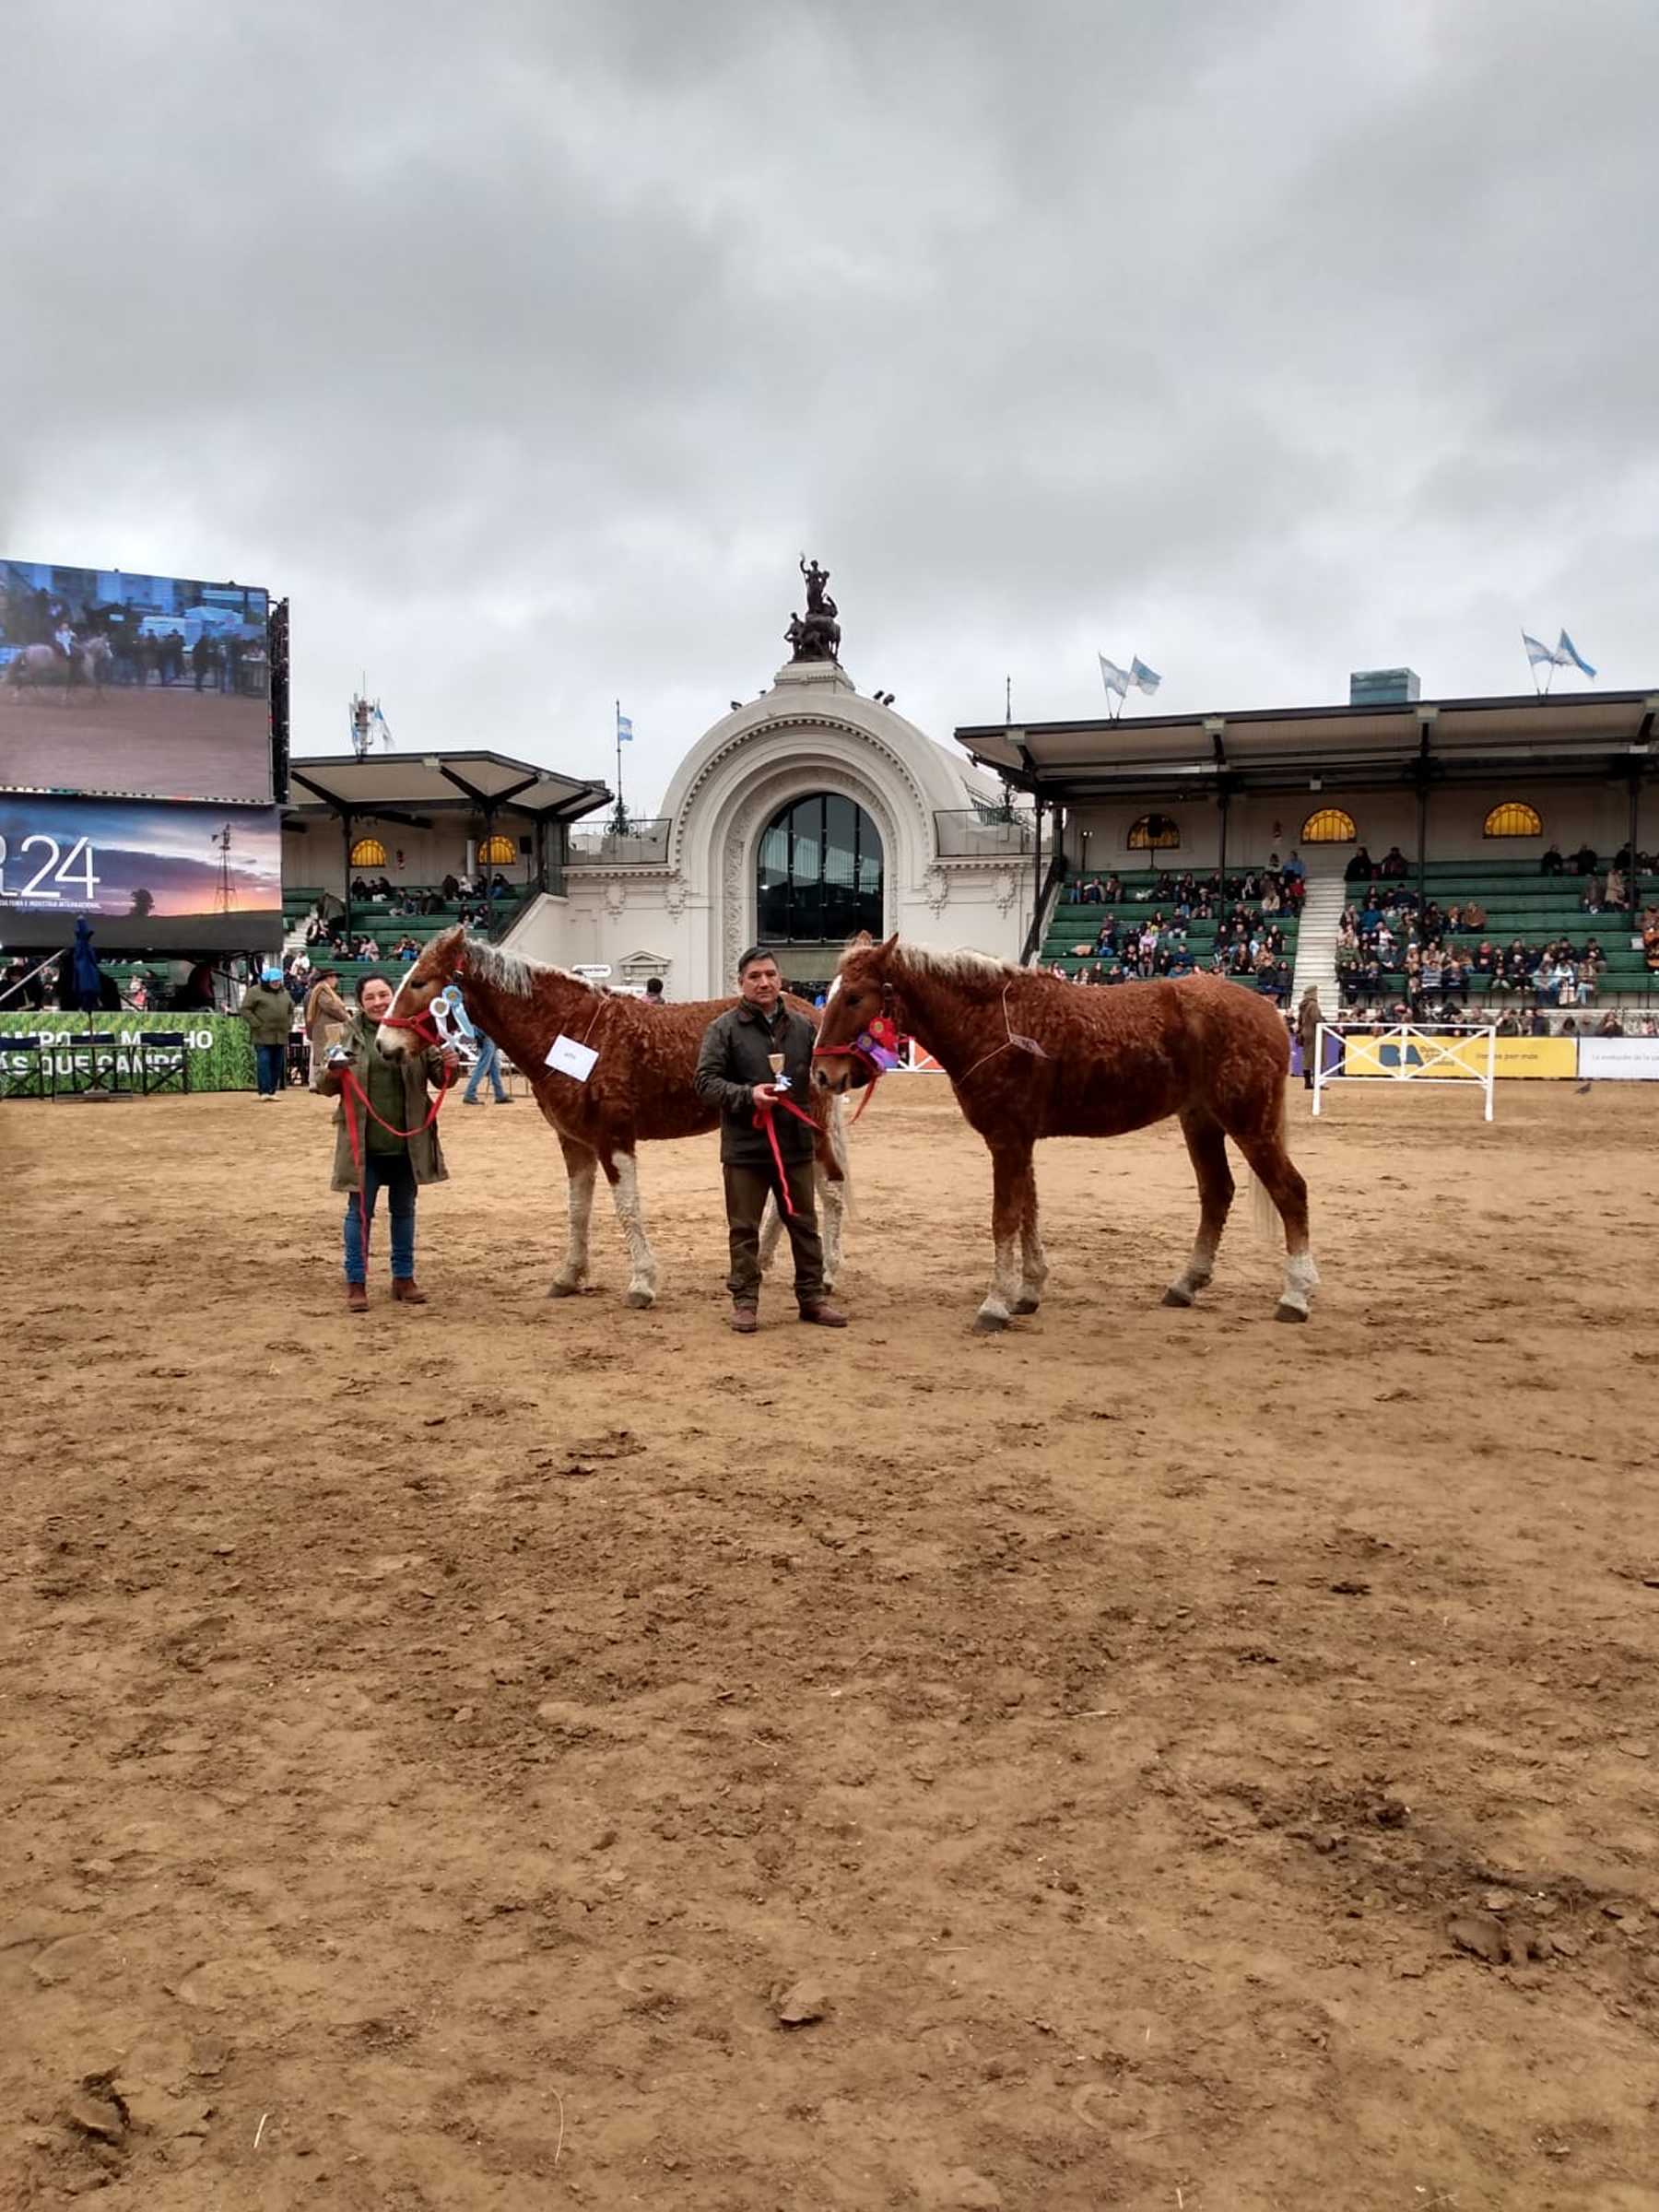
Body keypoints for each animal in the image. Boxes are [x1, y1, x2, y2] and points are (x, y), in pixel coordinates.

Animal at [380, 924, 858, 1300]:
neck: (570, 1030)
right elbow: (578, 1208)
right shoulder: (574, 1141)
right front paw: (568, 1276)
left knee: (831, 1189)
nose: (386, 1045)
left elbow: (627, 1205)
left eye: (420, 982)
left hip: (811, 1126)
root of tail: (813, 1015)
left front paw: (642, 1283)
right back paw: (760, 1260)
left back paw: (829, 1272)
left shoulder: (614, 1138)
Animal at [814, 937, 1318, 1327]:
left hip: (1250, 1124)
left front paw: (994, 1304)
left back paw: (1295, 1294)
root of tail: (1268, 1012)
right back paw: (1186, 1284)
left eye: (855, 997)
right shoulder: (1020, 1139)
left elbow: (1004, 1217)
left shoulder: (1007, 1140)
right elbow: (1028, 1212)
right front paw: (1027, 1292)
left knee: (1291, 1191)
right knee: (1217, 1193)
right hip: (1201, 1121)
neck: (995, 1024)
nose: (821, 1074)